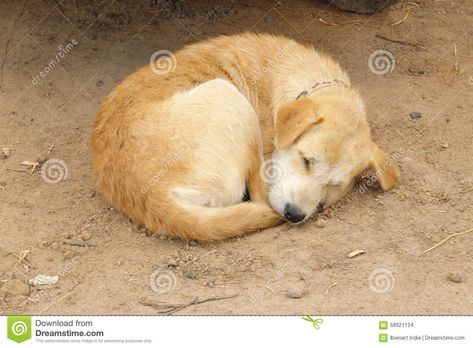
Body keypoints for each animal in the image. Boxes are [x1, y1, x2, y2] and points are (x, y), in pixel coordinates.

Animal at [91, 32, 398, 239]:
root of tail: (149, 195)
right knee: (260, 196)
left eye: (334, 185)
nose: (294, 215)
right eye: (306, 160)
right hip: (229, 97)